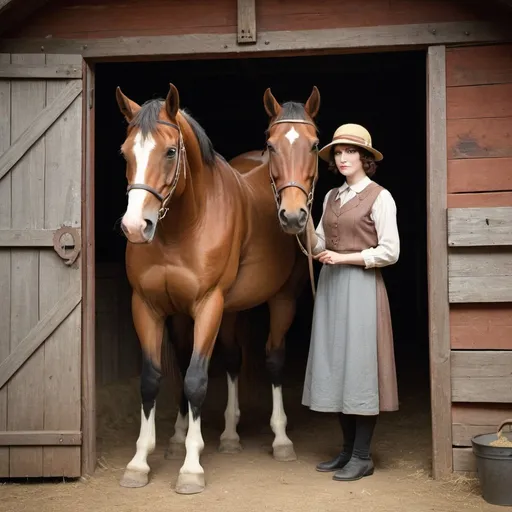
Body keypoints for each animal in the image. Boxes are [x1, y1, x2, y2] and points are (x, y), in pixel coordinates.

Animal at [115, 82, 320, 494]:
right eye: (126, 152)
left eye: (170, 151)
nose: (135, 226)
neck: (183, 225)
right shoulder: (148, 306)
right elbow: (154, 377)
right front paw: (141, 461)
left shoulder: (208, 304)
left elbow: (196, 379)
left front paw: (191, 468)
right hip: (229, 309)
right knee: (229, 359)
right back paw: (225, 435)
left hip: (281, 300)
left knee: (272, 357)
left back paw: (280, 440)